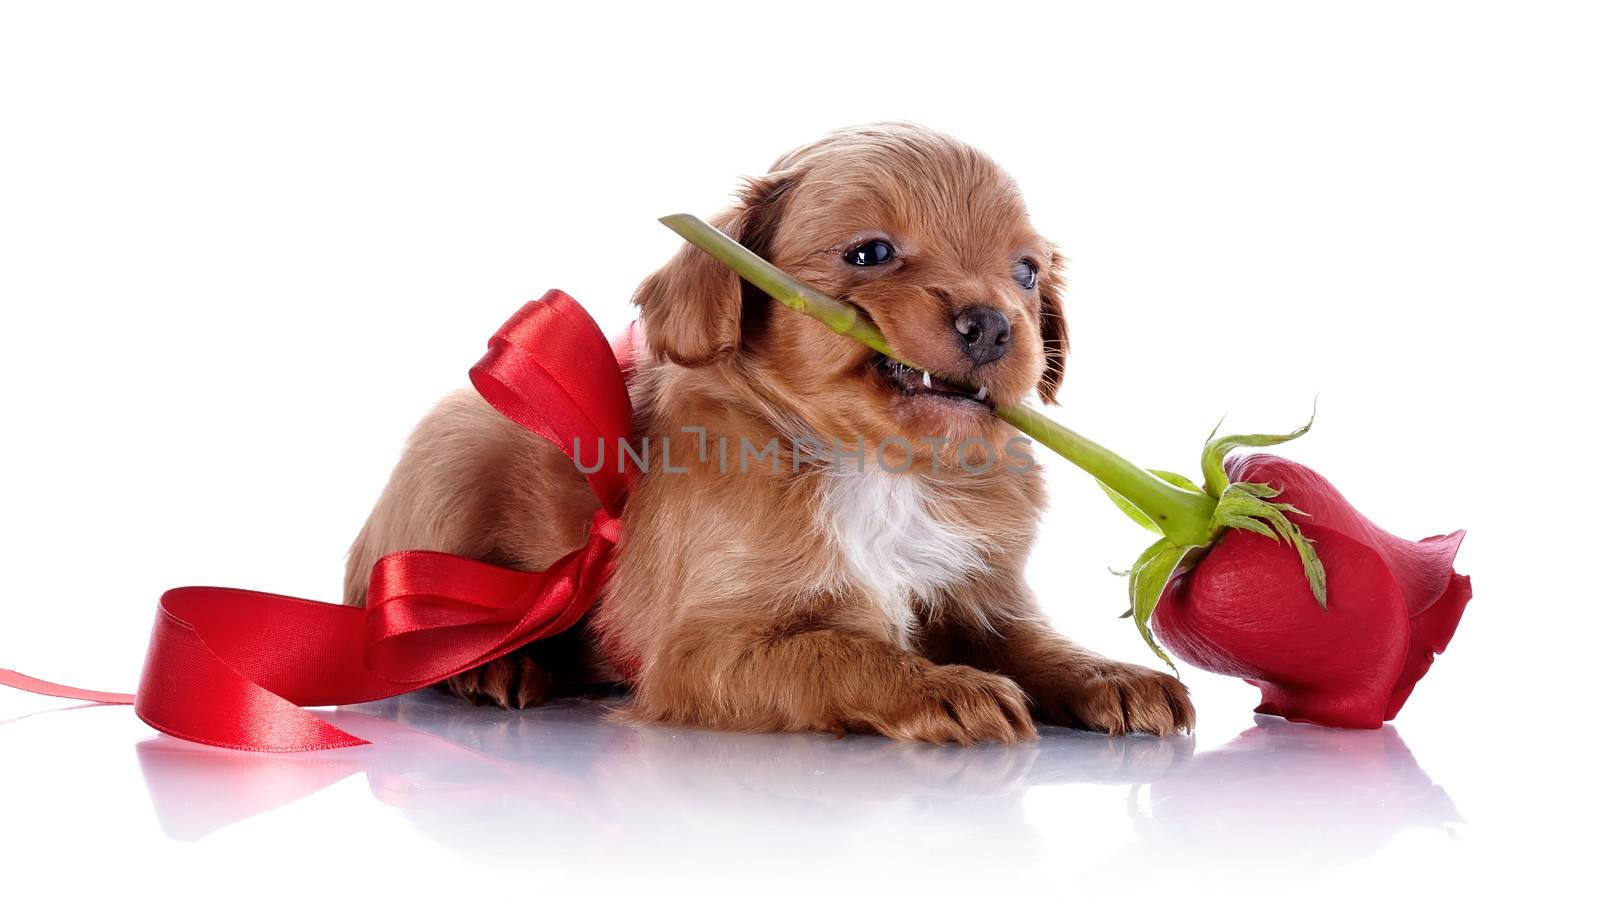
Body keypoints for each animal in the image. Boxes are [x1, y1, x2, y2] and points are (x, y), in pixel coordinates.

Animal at [344, 122, 1190, 739]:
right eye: (871, 252)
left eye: (1025, 272)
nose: (990, 325)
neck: (880, 469)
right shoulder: (707, 649)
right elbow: (840, 649)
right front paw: (943, 686)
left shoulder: (979, 597)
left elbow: (1038, 645)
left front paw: (1113, 674)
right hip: (452, 466)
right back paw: (494, 665)